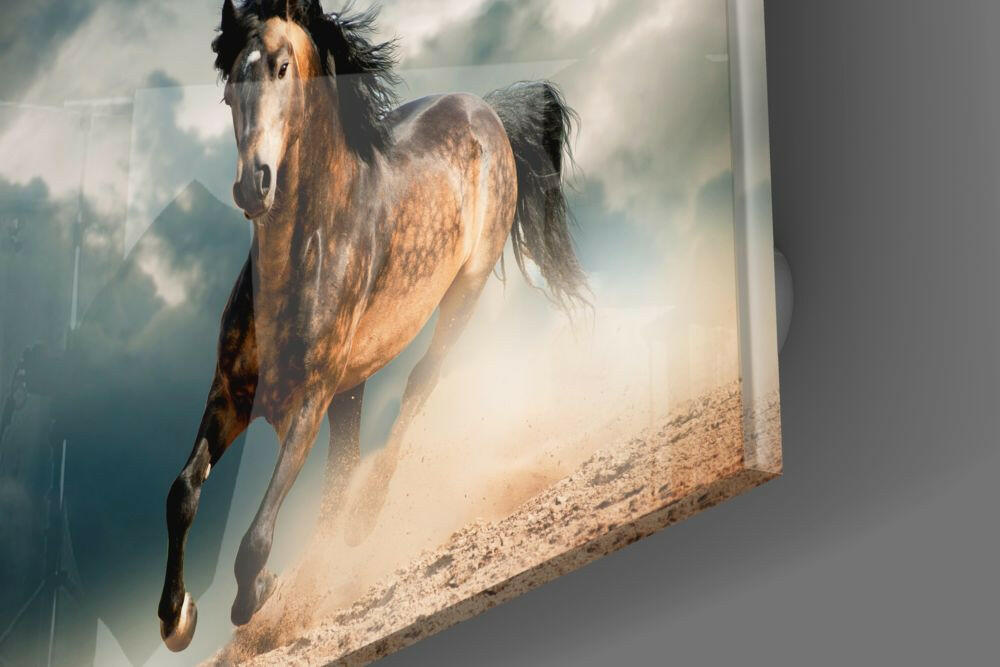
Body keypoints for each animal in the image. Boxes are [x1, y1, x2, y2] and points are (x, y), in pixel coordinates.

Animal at [157, 0, 588, 651]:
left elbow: (256, 537)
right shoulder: (231, 394)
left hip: (463, 294)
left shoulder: (309, 400)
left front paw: (260, 593)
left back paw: (365, 519)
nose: (253, 185)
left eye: (281, 67)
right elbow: (183, 491)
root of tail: (485, 108)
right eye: (230, 86)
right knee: (342, 472)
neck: (306, 252)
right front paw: (175, 617)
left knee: (417, 390)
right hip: (353, 386)